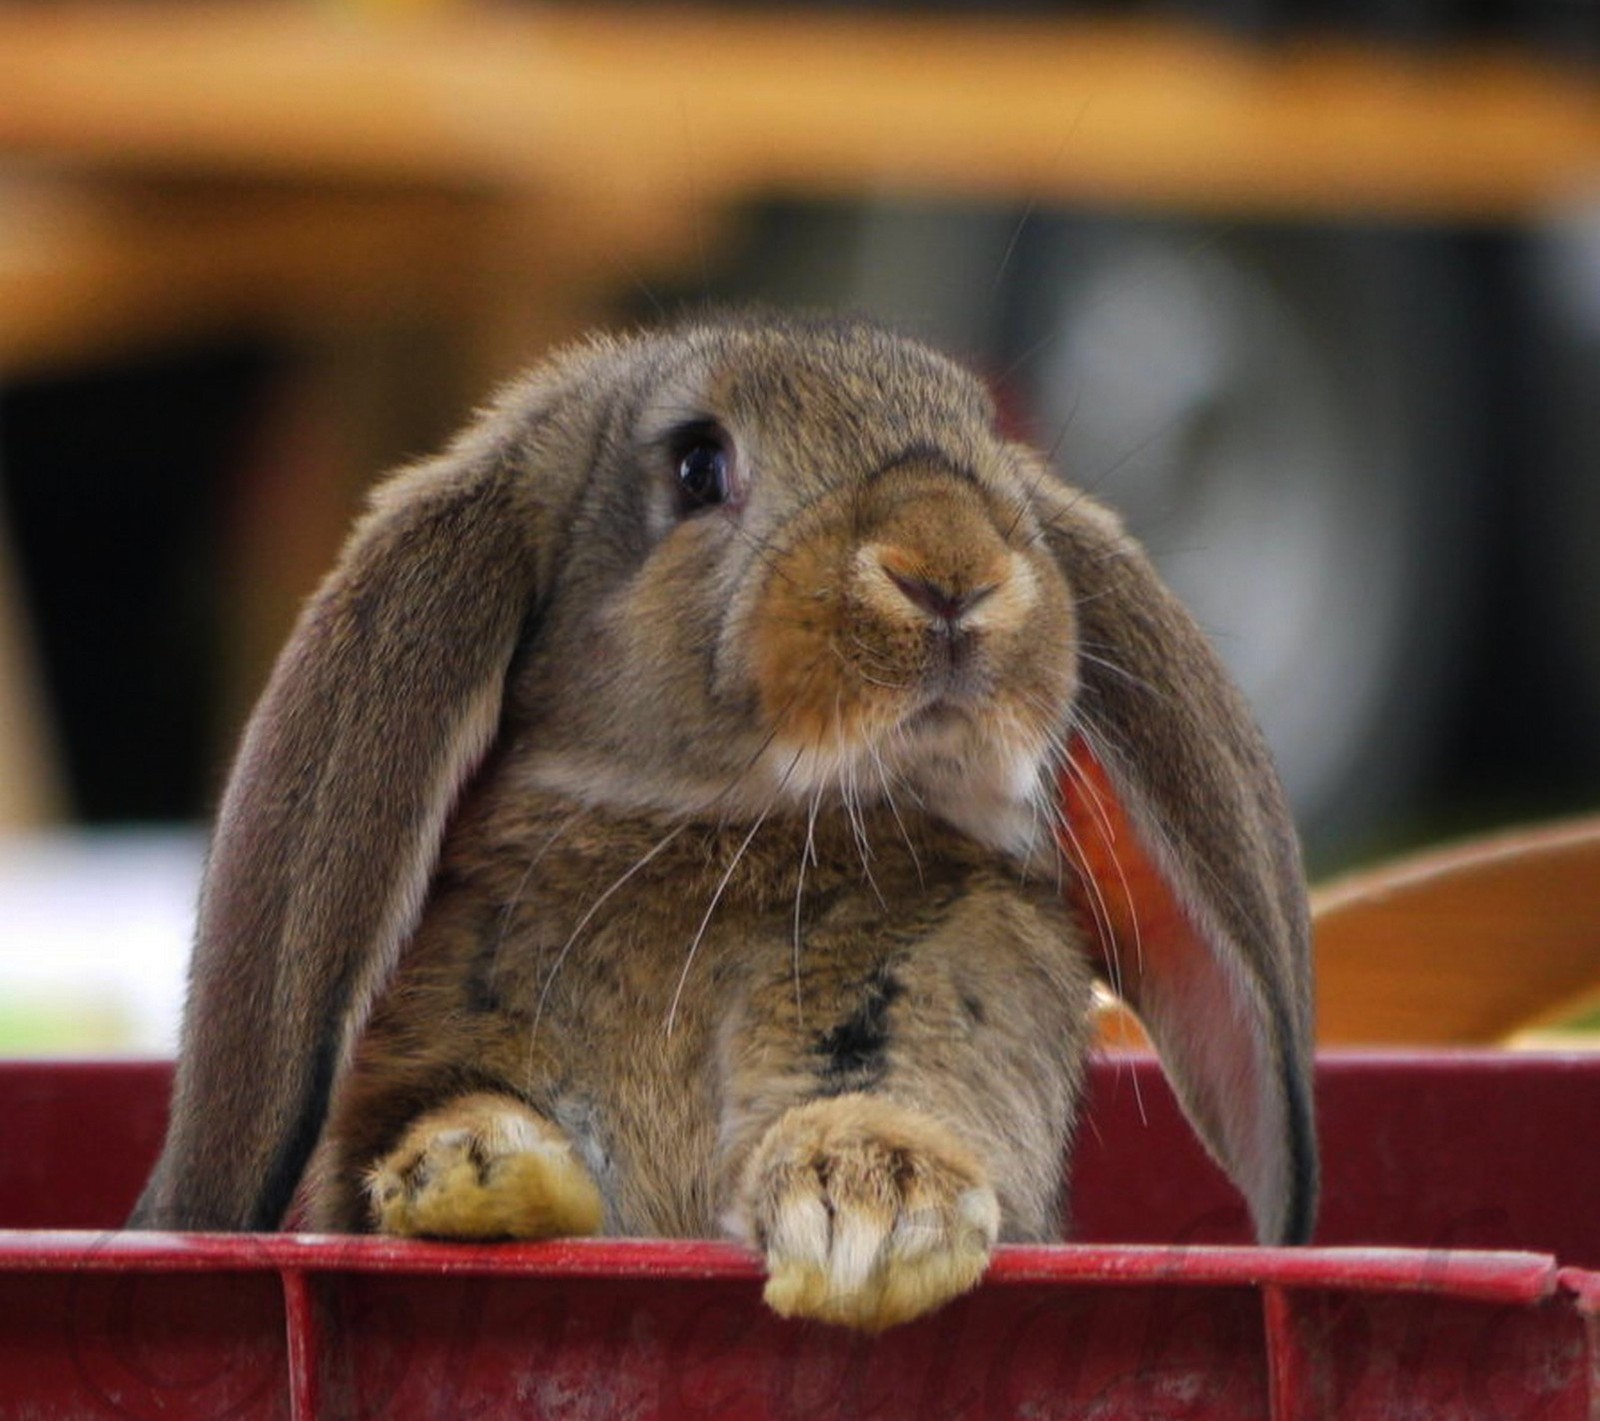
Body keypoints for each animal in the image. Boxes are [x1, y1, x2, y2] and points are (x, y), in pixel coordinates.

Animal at [134, 310, 1312, 1331]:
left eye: (983, 435)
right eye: (699, 464)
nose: (951, 573)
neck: (720, 828)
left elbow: (892, 1104)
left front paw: (871, 1219)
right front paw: (463, 1178)